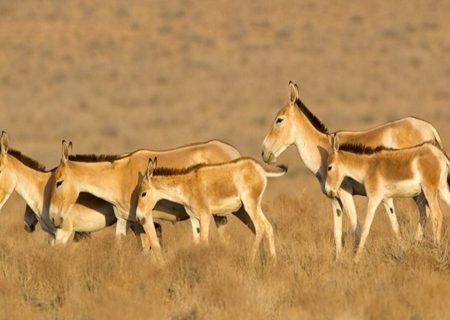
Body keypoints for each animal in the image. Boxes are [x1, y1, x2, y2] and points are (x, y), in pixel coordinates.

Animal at [135, 157, 286, 260]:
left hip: (250, 205)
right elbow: (196, 242)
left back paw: (250, 260)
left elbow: (204, 242)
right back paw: (273, 262)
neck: (187, 187)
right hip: (255, 205)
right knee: (268, 226)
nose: (138, 216)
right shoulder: (194, 218)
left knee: (260, 227)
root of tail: (259, 167)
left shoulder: (205, 215)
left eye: (143, 194)